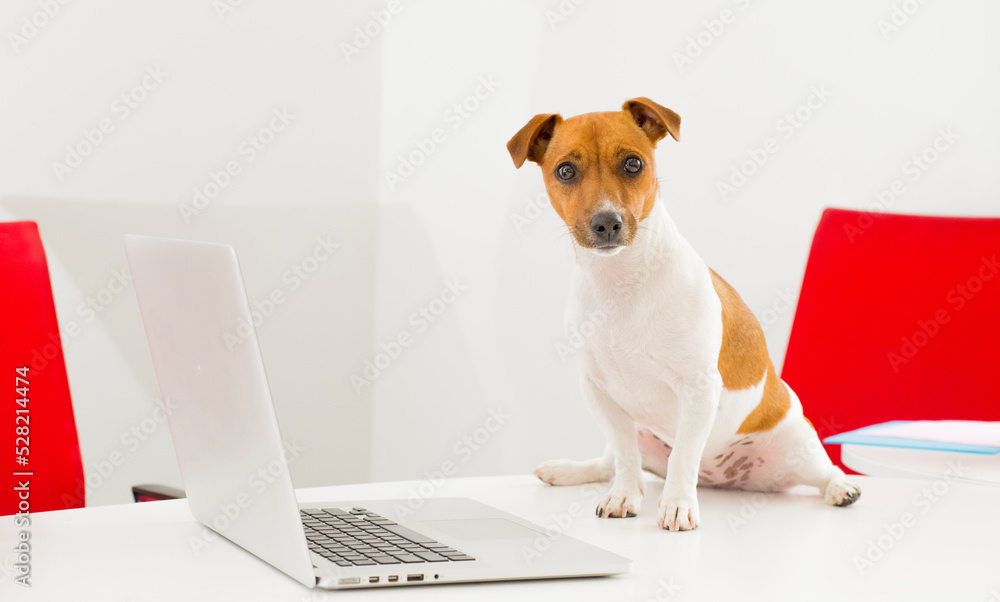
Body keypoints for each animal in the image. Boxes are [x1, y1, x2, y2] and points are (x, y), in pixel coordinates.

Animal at [508, 97, 860, 528]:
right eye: (565, 171)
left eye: (633, 164)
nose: (606, 222)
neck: (620, 282)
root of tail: (723, 478)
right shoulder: (600, 393)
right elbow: (625, 457)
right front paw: (623, 496)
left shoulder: (697, 388)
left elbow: (683, 455)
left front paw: (676, 503)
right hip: (641, 432)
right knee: (610, 461)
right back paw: (569, 470)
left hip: (797, 446)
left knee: (825, 470)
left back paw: (840, 488)